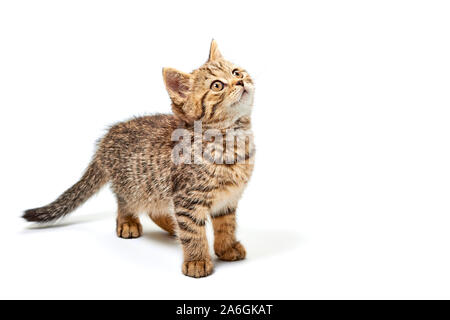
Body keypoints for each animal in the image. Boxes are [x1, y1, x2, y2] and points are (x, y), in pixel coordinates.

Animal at [23, 40, 256, 278]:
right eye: (217, 86)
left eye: (236, 72)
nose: (240, 80)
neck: (232, 140)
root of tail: (108, 136)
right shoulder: (187, 199)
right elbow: (193, 232)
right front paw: (197, 260)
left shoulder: (227, 199)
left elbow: (226, 225)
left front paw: (226, 248)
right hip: (134, 184)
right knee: (124, 202)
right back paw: (128, 222)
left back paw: (171, 227)